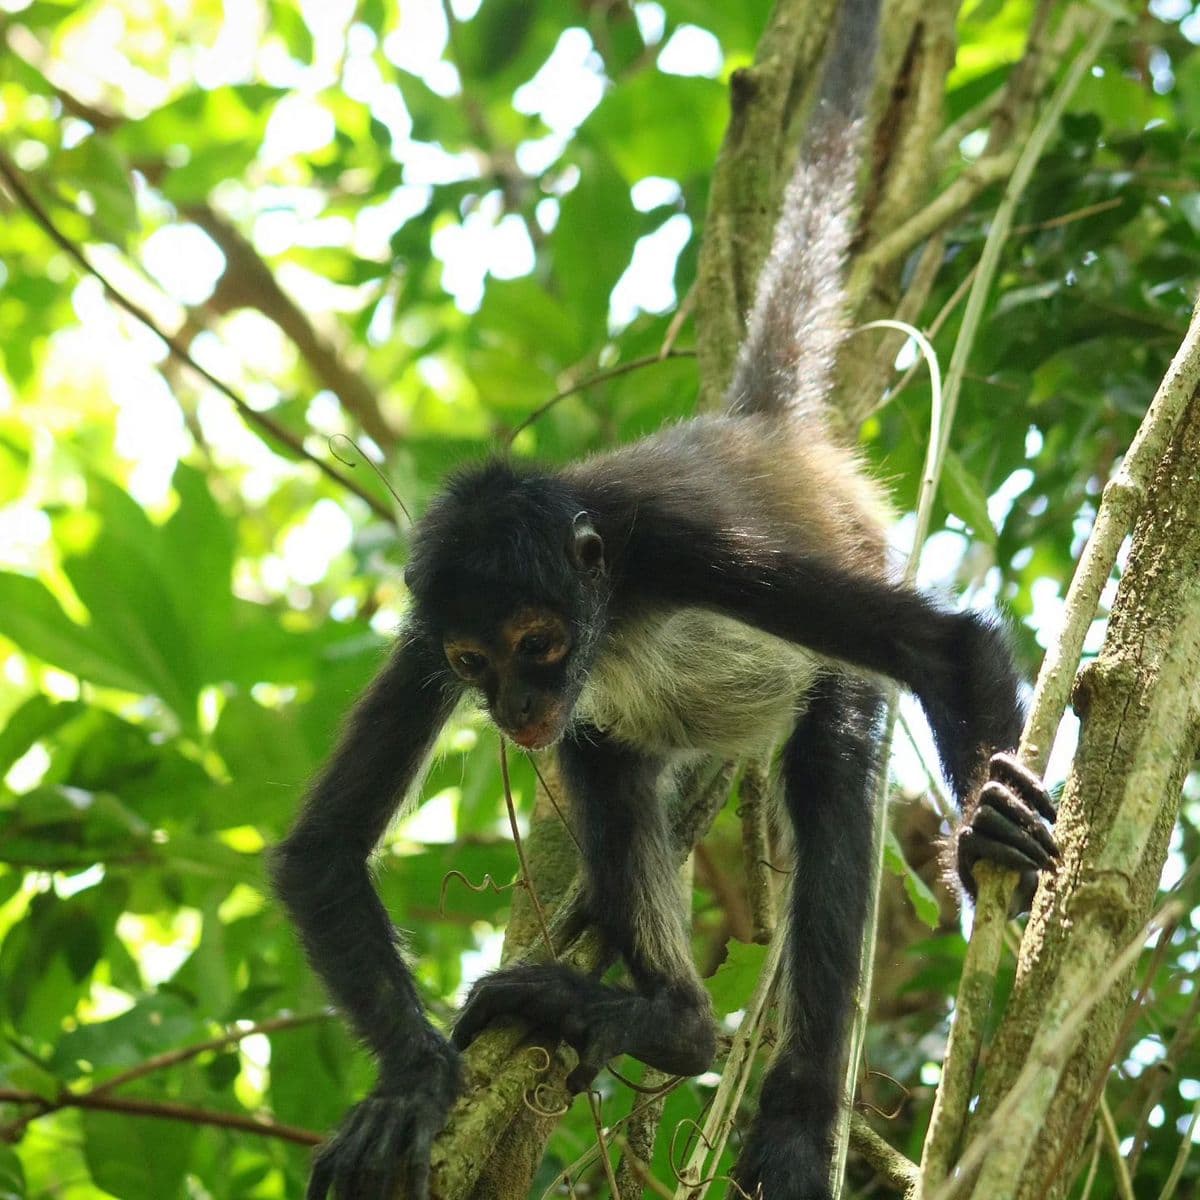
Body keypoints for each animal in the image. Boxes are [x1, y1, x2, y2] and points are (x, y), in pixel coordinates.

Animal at [274, 2, 1060, 1200]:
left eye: (539, 642)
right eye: (473, 664)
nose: (514, 708)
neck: (607, 608)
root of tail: (761, 433)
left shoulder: (688, 553)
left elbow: (950, 647)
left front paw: (990, 849)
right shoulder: (425, 625)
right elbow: (320, 855)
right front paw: (410, 1082)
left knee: (828, 772)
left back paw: (786, 1112)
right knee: (605, 756)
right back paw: (671, 1020)